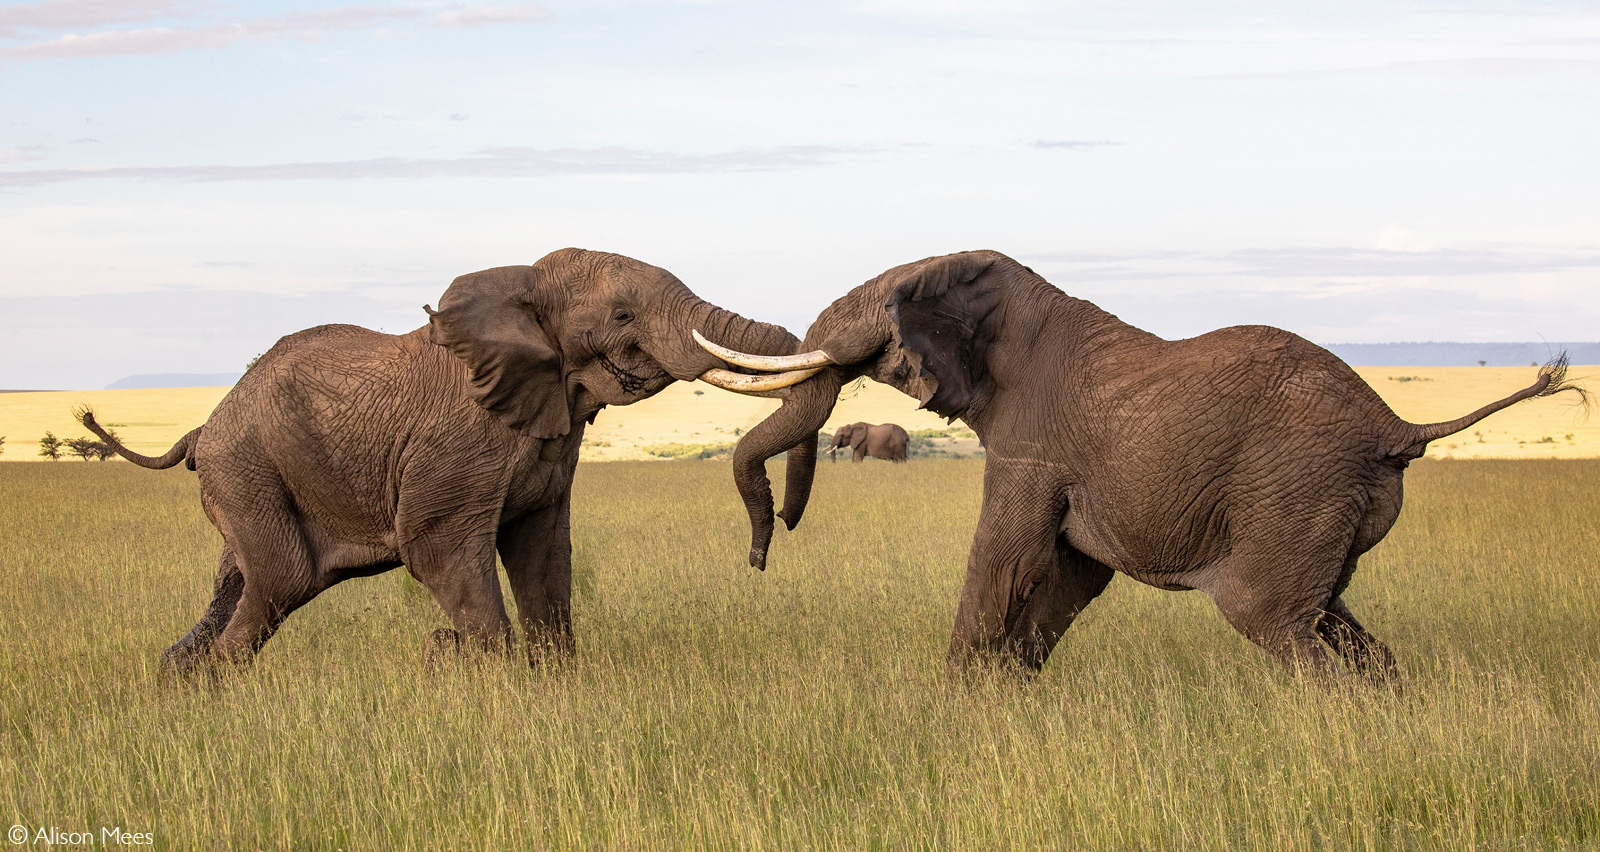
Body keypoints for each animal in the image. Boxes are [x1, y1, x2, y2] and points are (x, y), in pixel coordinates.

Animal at [84, 249, 812, 675]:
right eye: (623, 315)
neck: (518, 292)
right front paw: (487, 676)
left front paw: (550, 685)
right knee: (281, 581)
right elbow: (438, 548)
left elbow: (543, 554)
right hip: (247, 469)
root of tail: (204, 428)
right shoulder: (459, 443)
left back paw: (175, 682)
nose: (765, 549)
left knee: (237, 586)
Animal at [694, 248, 1580, 679]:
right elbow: (1069, 576)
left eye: (883, 305)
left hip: (1296, 493)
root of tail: (1396, 424)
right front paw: (1001, 703)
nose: (762, 556)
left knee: (1279, 622)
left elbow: (1003, 557)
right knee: (1339, 620)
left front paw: (952, 713)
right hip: (1328, 510)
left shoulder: (1031, 441)